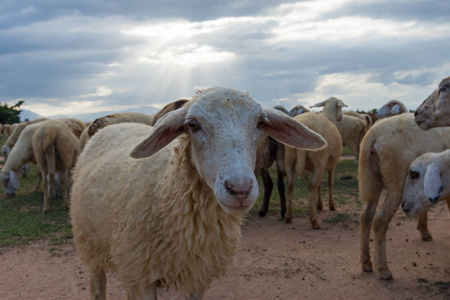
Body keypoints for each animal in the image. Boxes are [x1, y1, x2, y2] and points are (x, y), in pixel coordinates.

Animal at [68, 85, 326, 298]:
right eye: (192, 125)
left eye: (260, 123)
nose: (240, 189)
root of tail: (116, 125)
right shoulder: (140, 277)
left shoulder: (197, 275)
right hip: (90, 247)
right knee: (97, 285)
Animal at [284, 97, 344, 229]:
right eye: (340, 107)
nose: (341, 117)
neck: (329, 116)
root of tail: (305, 124)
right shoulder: (331, 165)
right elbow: (329, 184)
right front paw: (331, 206)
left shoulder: (319, 167)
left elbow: (319, 185)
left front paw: (319, 205)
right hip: (319, 160)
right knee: (311, 186)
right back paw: (314, 221)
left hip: (289, 158)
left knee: (290, 186)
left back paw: (288, 217)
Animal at [360, 112, 450, 278]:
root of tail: (373, 135)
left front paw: (424, 230)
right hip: (397, 181)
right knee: (380, 220)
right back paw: (384, 269)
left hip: (374, 177)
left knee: (365, 216)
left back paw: (366, 262)